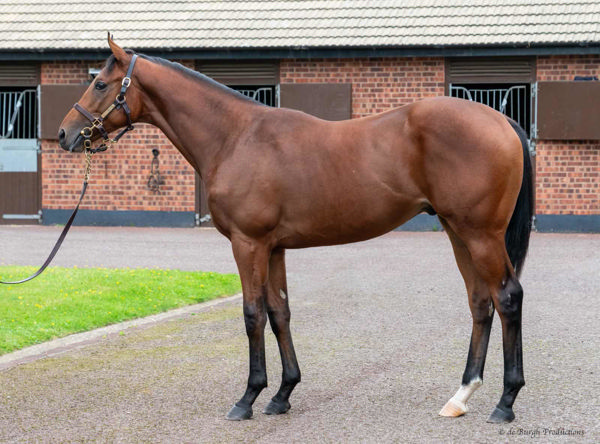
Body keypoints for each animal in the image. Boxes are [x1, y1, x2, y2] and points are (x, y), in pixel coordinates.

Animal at [57, 37, 536, 424]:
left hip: (480, 234)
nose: (65, 134)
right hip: (458, 232)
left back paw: (505, 402)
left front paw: (248, 398)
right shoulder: (273, 248)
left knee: (508, 297)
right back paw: (460, 396)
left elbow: (252, 314)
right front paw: (283, 394)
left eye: (100, 84)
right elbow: (279, 312)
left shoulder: (248, 244)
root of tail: (502, 121)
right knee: (480, 302)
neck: (236, 137)